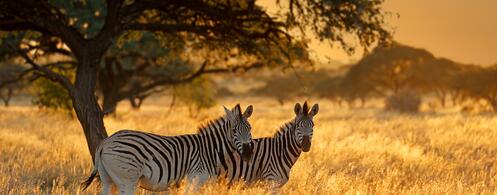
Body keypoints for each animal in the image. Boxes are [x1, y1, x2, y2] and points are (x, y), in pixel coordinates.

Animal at [81, 104, 254, 194]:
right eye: (234, 131)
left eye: (250, 129)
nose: (248, 154)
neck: (210, 150)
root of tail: (105, 142)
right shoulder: (195, 177)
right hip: (127, 180)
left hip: (107, 179)